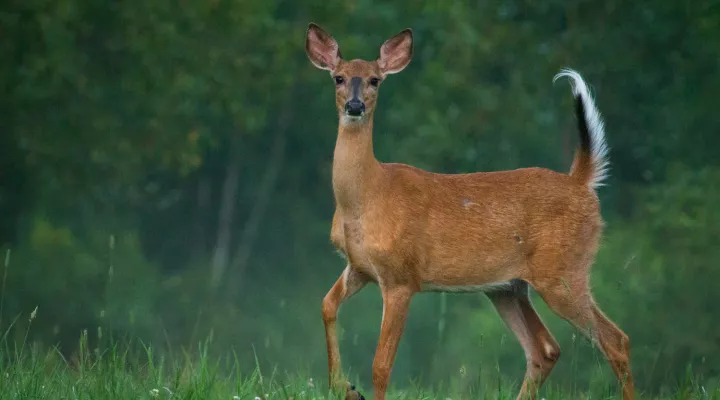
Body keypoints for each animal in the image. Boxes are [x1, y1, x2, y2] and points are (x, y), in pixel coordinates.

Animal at [306, 22, 632, 400]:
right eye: (339, 78)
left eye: (374, 80)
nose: (355, 106)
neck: (366, 196)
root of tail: (581, 181)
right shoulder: (359, 267)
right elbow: (326, 305)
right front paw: (343, 386)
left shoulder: (402, 277)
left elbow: (381, 366)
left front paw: (353, 386)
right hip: (507, 287)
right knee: (546, 348)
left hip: (564, 271)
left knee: (615, 340)